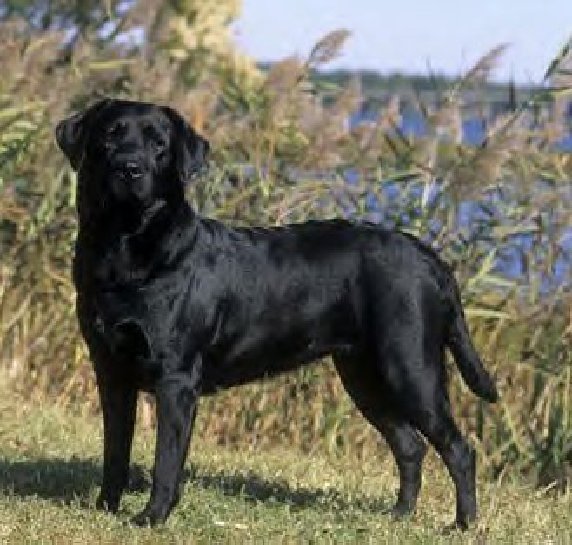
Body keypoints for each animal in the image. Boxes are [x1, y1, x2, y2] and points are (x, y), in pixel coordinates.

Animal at [55, 98, 498, 528]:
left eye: (159, 145)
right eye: (110, 136)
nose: (130, 167)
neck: (124, 248)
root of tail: (430, 258)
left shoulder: (176, 379)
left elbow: (166, 460)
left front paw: (152, 517)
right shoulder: (110, 371)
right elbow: (115, 450)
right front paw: (104, 508)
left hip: (411, 368)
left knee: (459, 448)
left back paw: (463, 525)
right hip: (363, 375)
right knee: (410, 445)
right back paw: (400, 516)